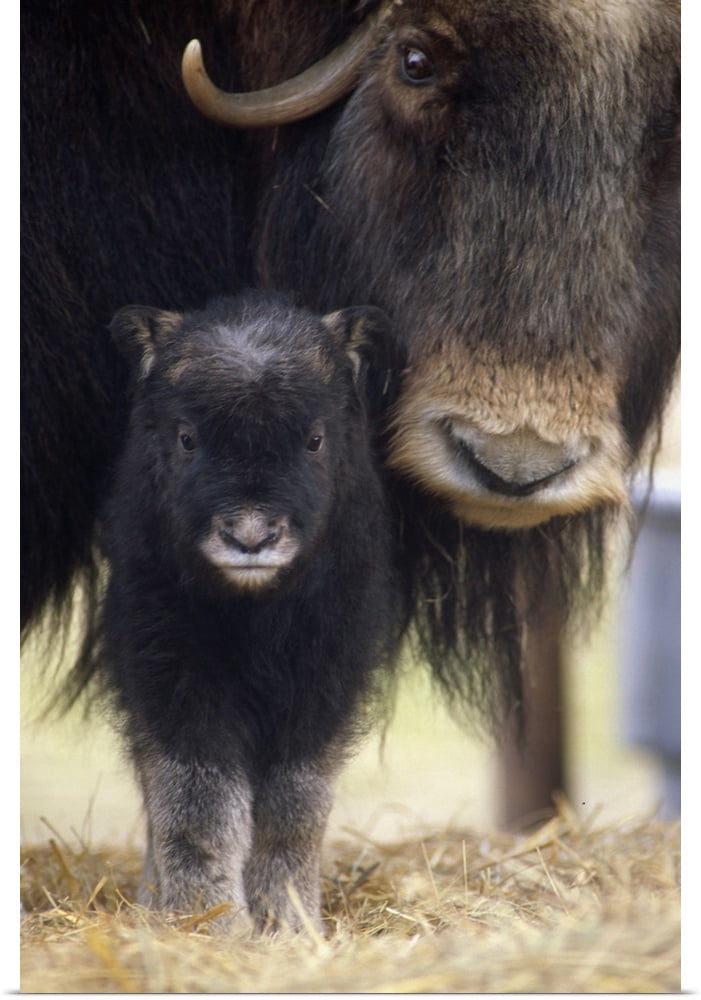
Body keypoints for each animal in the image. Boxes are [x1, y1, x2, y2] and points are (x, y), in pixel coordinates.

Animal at [75, 291, 402, 929]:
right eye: (187, 438)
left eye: (314, 439)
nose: (250, 537)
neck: (254, 608)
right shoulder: (173, 672)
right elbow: (196, 801)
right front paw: (208, 921)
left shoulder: (322, 679)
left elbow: (294, 806)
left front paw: (288, 924)